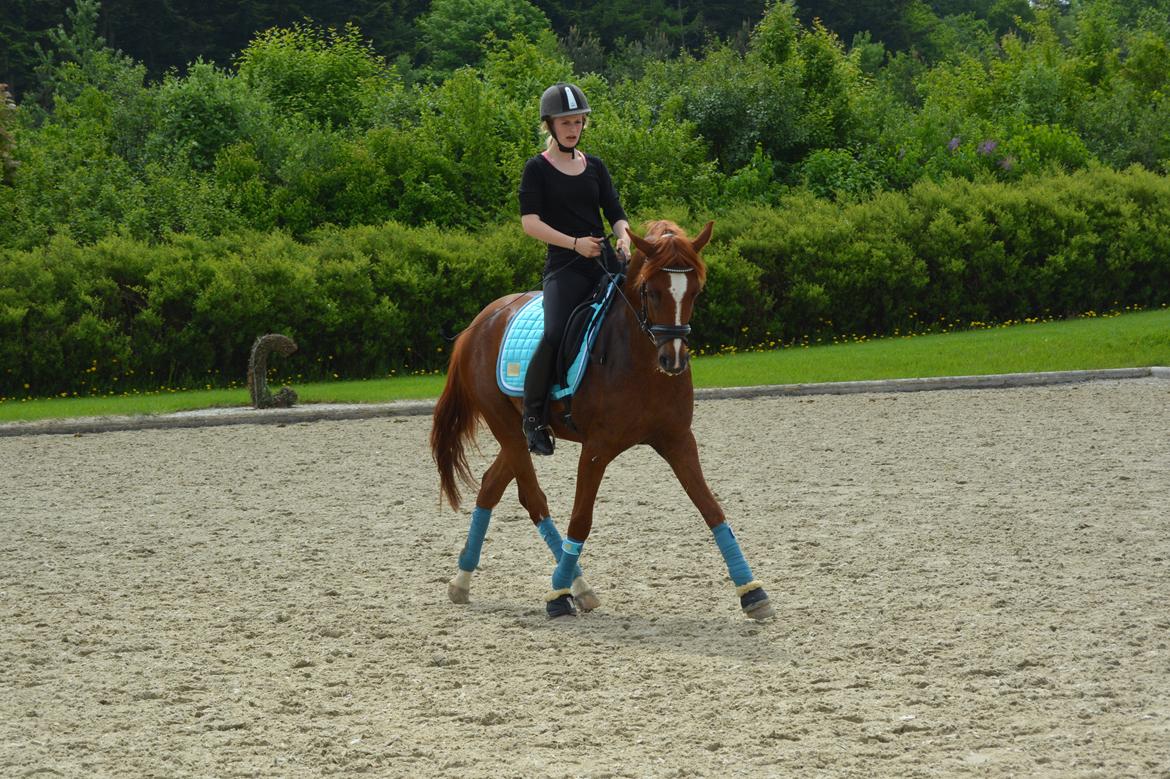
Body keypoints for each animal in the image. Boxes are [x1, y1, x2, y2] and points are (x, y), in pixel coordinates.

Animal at [432, 218, 776, 617]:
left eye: (695, 292)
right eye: (650, 291)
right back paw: (572, 589)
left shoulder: (678, 440)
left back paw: (463, 581)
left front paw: (752, 591)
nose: (673, 360)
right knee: (533, 499)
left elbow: (712, 509)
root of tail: (478, 324)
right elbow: (581, 520)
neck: (639, 361)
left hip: (515, 433)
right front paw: (557, 594)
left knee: (490, 487)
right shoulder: (596, 449)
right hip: (506, 426)